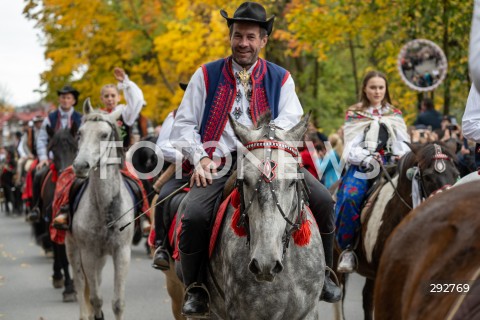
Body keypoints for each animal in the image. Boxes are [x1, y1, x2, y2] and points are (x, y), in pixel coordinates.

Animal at [64, 99, 134, 320]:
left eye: (104, 135)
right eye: (80, 133)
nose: (80, 166)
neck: (105, 210)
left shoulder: (122, 252)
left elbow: (118, 303)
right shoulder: (88, 253)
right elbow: (95, 299)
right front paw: (95, 312)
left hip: (102, 257)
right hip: (73, 248)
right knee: (80, 284)